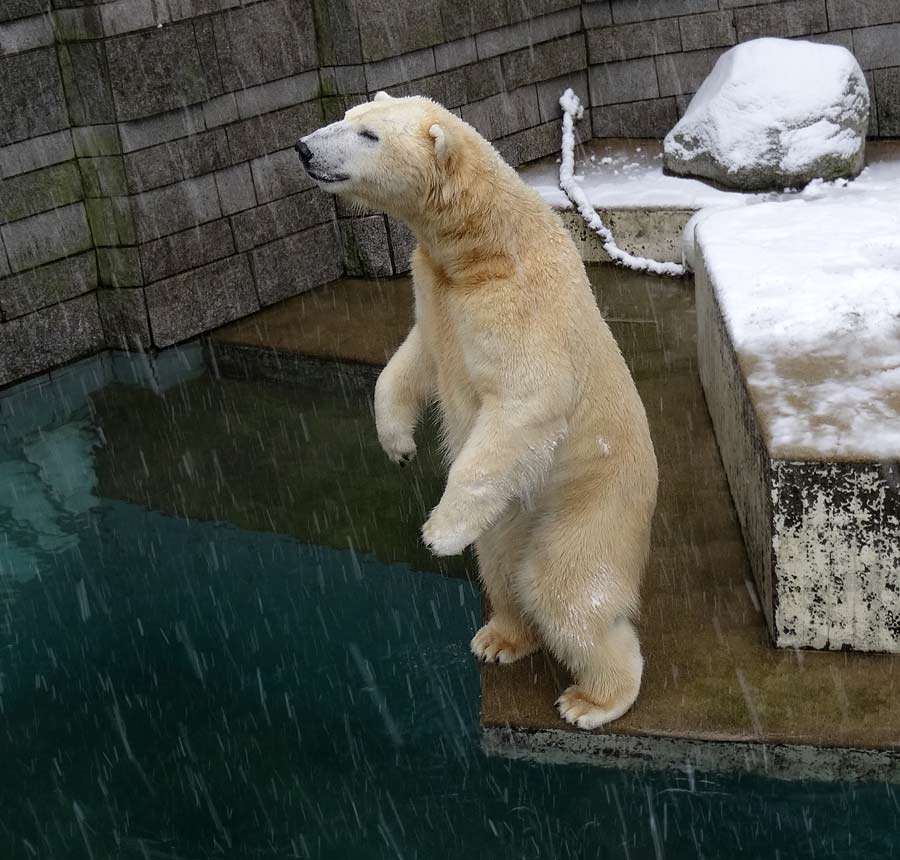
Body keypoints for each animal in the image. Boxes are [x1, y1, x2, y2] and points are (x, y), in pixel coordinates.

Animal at [298, 92, 656, 724]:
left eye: (368, 134)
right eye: (346, 114)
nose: (304, 149)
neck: (482, 246)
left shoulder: (520, 303)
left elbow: (526, 401)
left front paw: (437, 533)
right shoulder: (435, 293)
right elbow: (413, 357)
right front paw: (397, 444)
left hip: (593, 501)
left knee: (564, 587)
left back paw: (592, 699)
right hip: (512, 517)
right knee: (501, 567)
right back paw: (500, 638)